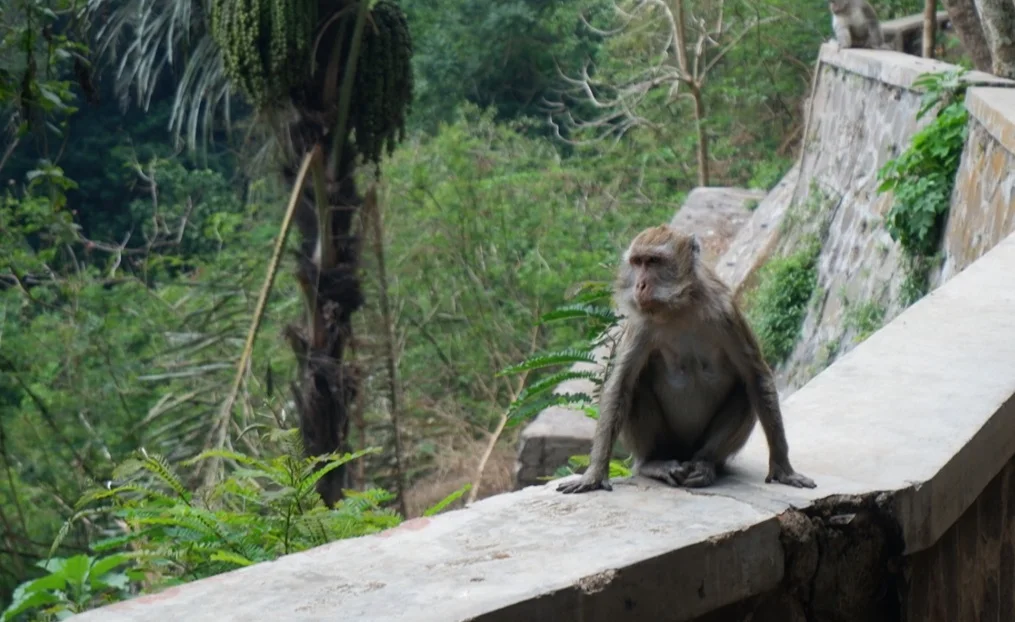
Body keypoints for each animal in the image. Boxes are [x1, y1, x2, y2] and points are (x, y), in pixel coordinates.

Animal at [557, 225, 815, 494]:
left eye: (653, 261)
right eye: (637, 262)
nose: (639, 285)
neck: (679, 307)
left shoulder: (726, 313)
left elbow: (756, 376)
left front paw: (783, 468)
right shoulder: (641, 324)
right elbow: (621, 385)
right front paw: (594, 475)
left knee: (746, 393)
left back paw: (705, 464)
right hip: (668, 445)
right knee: (636, 390)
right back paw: (653, 464)